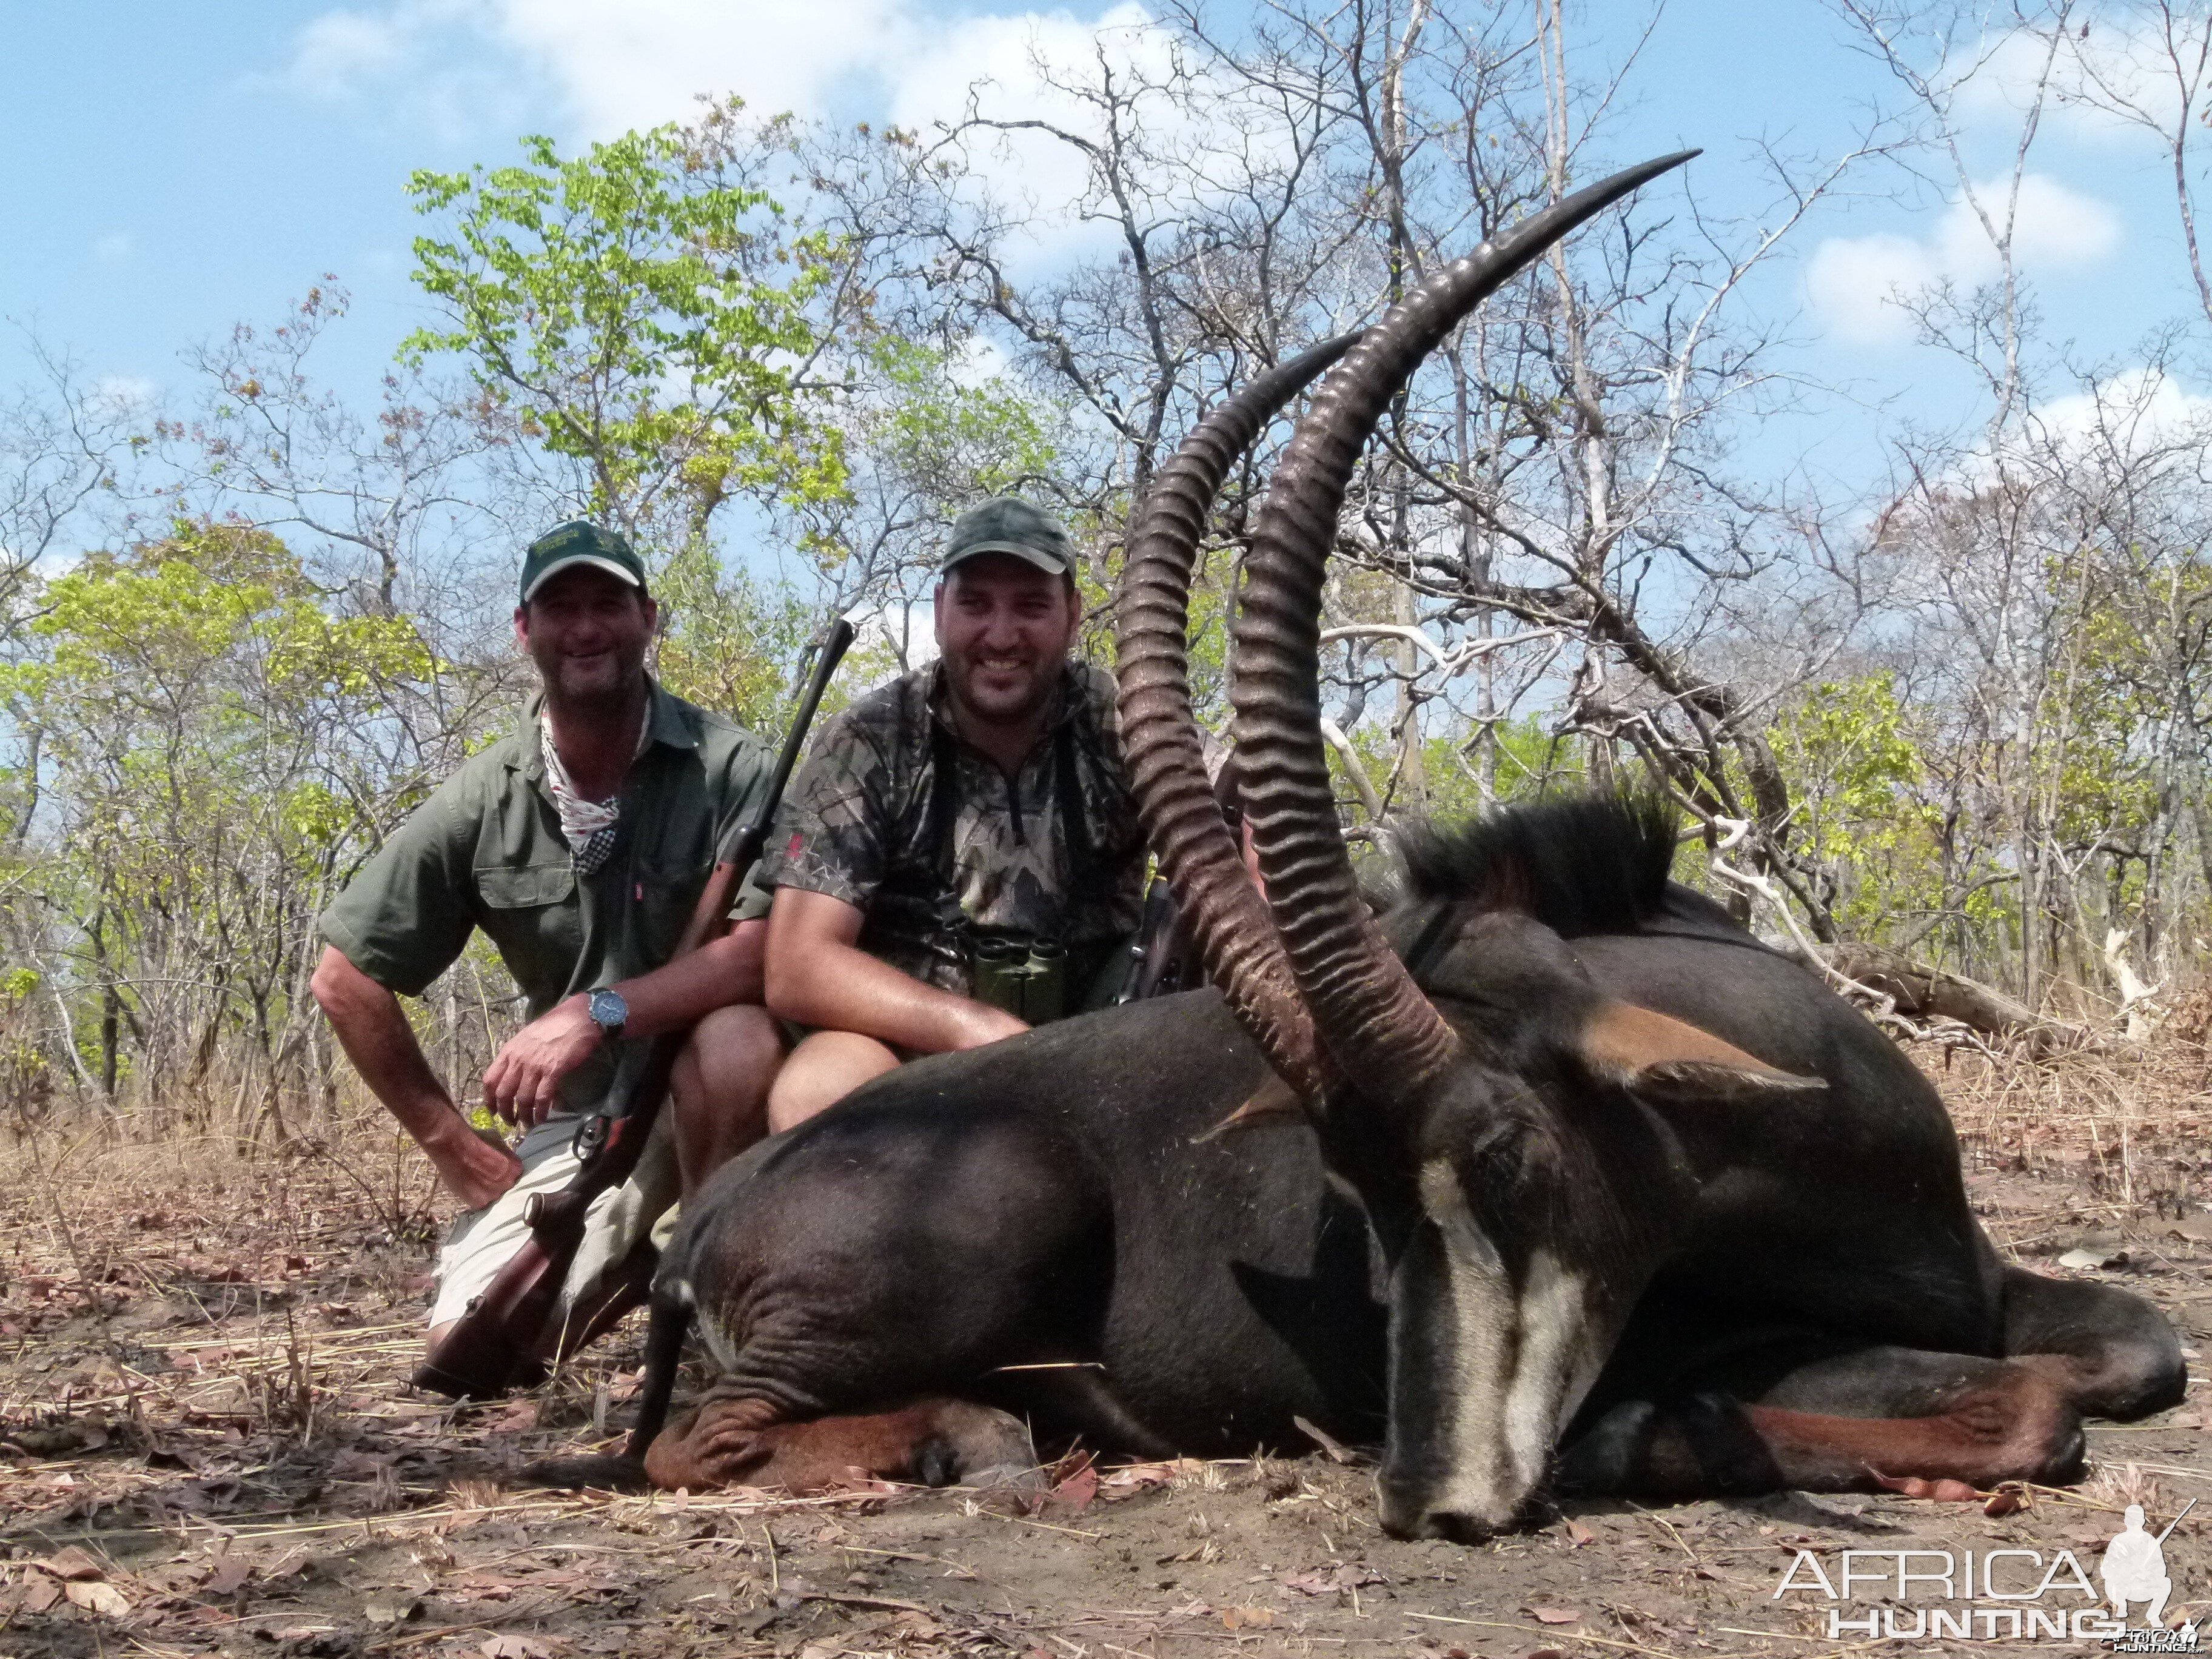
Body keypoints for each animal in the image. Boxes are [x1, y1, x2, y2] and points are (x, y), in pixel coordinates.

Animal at [531, 156, 2176, 1548]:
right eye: (1359, 1194)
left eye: (1506, 1154)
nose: (1433, 1494)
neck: (1823, 1134)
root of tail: (704, 1223)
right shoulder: (1727, 1336)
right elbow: (2018, 1408)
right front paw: (1655, 1437)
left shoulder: (1981, 1283)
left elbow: (2133, 1351)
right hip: (990, 1211)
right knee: (697, 1441)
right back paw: (973, 1438)